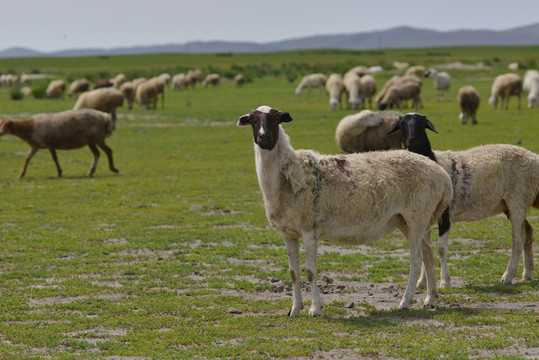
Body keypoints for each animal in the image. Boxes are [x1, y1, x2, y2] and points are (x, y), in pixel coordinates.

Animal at [238, 104, 454, 316]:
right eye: (253, 120)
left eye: (276, 119)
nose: (264, 137)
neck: (287, 174)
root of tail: (442, 175)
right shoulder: (288, 233)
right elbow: (293, 272)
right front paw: (295, 309)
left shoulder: (309, 229)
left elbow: (310, 271)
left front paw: (315, 308)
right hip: (405, 221)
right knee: (428, 254)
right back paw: (430, 299)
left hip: (417, 216)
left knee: (416, 260)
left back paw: (405, 302)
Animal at [390, 114, 536, 288]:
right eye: (402, 125)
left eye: (422, 124)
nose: (411, 142)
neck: (436, 161)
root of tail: (533, 156)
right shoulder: (425, 216)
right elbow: (426, 249)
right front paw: (422, 282)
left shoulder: (446, 214)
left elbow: (441, 249)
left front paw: (445, 281)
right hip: (514, 203)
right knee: (528, 233)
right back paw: (527, 274)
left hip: (517, 200)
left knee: (517, 240)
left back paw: (508, 276)